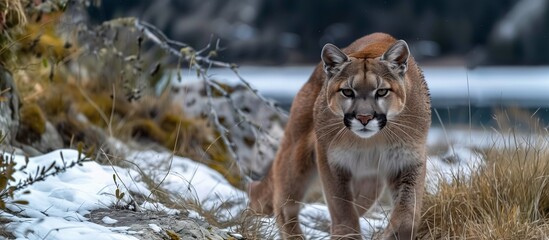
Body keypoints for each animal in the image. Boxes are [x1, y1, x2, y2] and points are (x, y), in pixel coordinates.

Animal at [248, 32, 432, 240]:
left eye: (382, 91)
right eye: (347, 91)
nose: (364, 117)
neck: (372, 141)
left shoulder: (408, 161)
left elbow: (408, 213)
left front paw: (388, 235)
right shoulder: (331, 160)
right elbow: (342, 207)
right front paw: (347, 235)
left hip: (370, 184)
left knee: (357, 206)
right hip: (295, 157)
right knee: (284, 206)